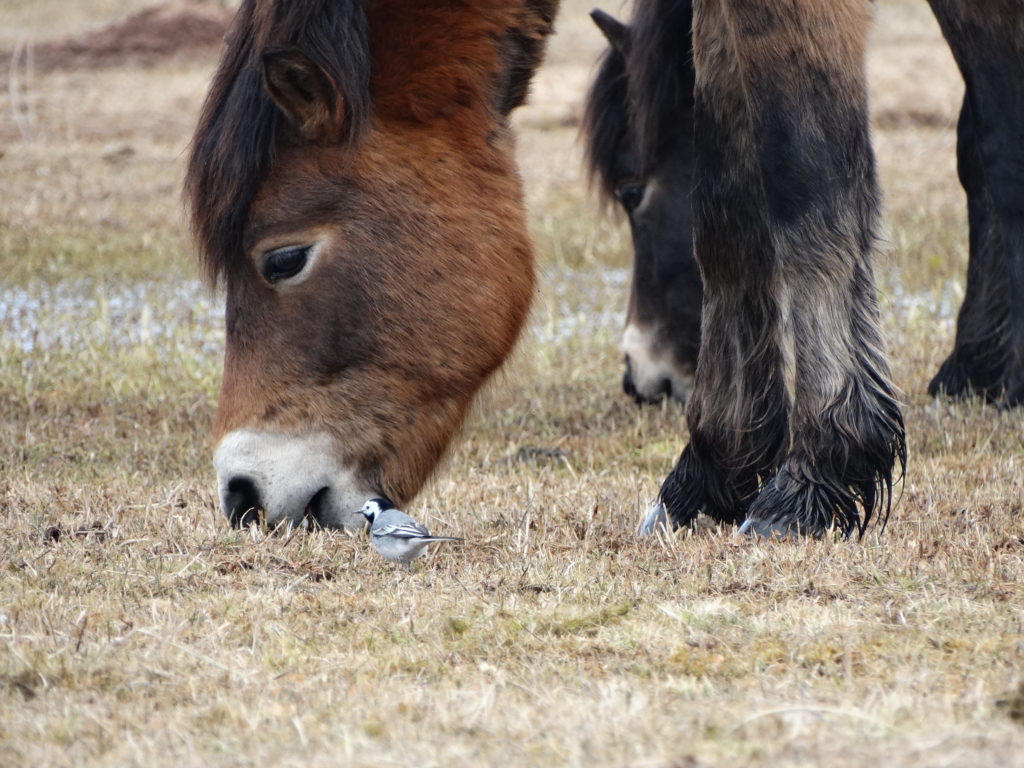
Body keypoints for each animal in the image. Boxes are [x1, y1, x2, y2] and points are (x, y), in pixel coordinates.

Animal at [585, 0, 1024, 536]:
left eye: (630, 192)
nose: (641, 377)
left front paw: (812, 477)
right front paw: (714, 466)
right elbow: (724, 210)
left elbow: (806, 179)